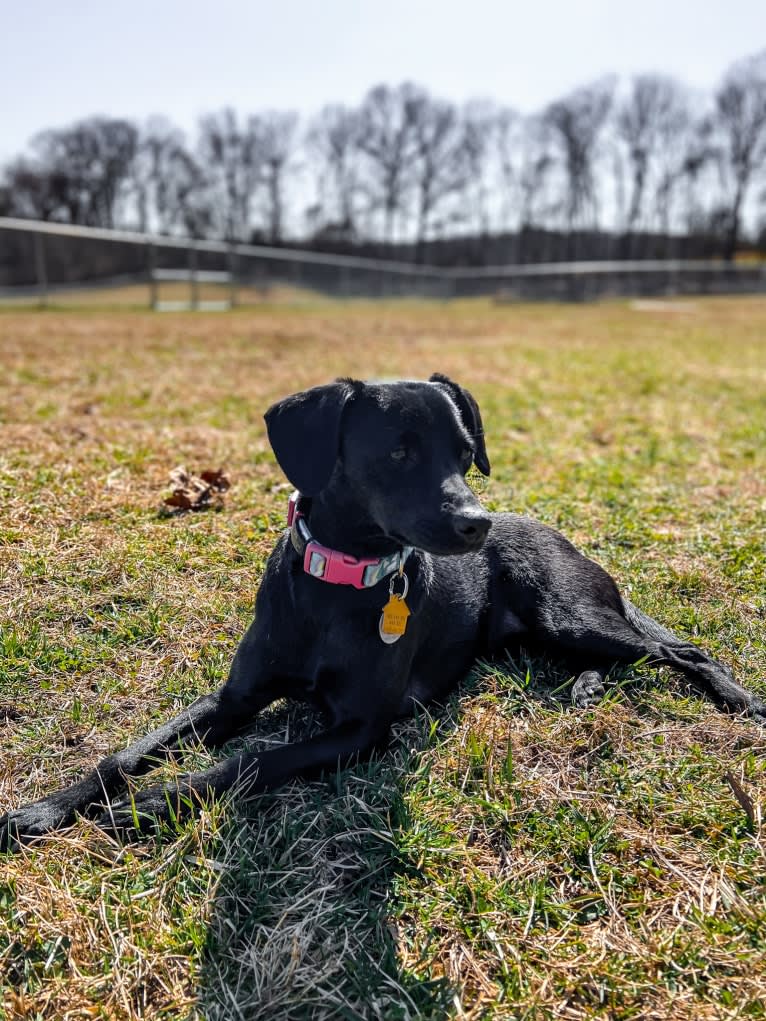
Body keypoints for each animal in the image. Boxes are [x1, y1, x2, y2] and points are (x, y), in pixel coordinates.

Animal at [0, 373, 763, 845]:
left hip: (567, 609)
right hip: (538, 633)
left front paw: (152, 802)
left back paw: (733, 698)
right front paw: (41, 809)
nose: (477, 525)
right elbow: (124, 753)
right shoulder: (233, 699)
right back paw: (584, 688)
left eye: (466, 452)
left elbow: (252, 762)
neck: (337, 584)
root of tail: (559, 534)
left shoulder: (361, 729)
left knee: (677, 649)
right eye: (398, 452)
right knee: (613, 657)